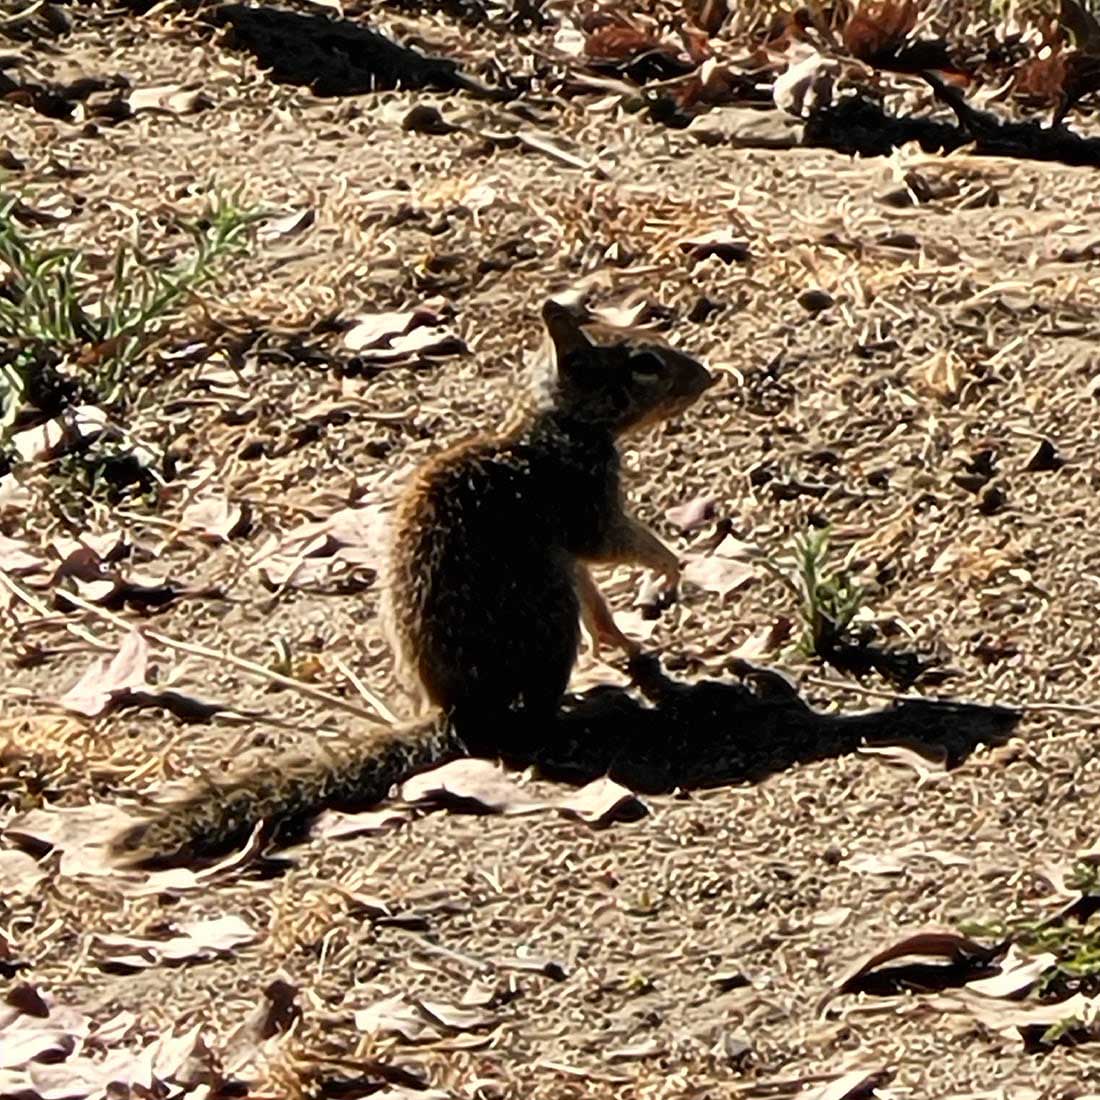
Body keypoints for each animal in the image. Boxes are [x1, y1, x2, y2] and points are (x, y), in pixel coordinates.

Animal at [111, 297, 712, 865]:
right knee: (536, 713)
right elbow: (615, 546)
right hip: (546, 619)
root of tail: (458, 712)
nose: (706, 376)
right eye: (644, 363)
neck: (554, 421)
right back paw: (591, 707)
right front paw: (671, 564)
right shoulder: (586, 499)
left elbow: (595, 596)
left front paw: (621, 639)